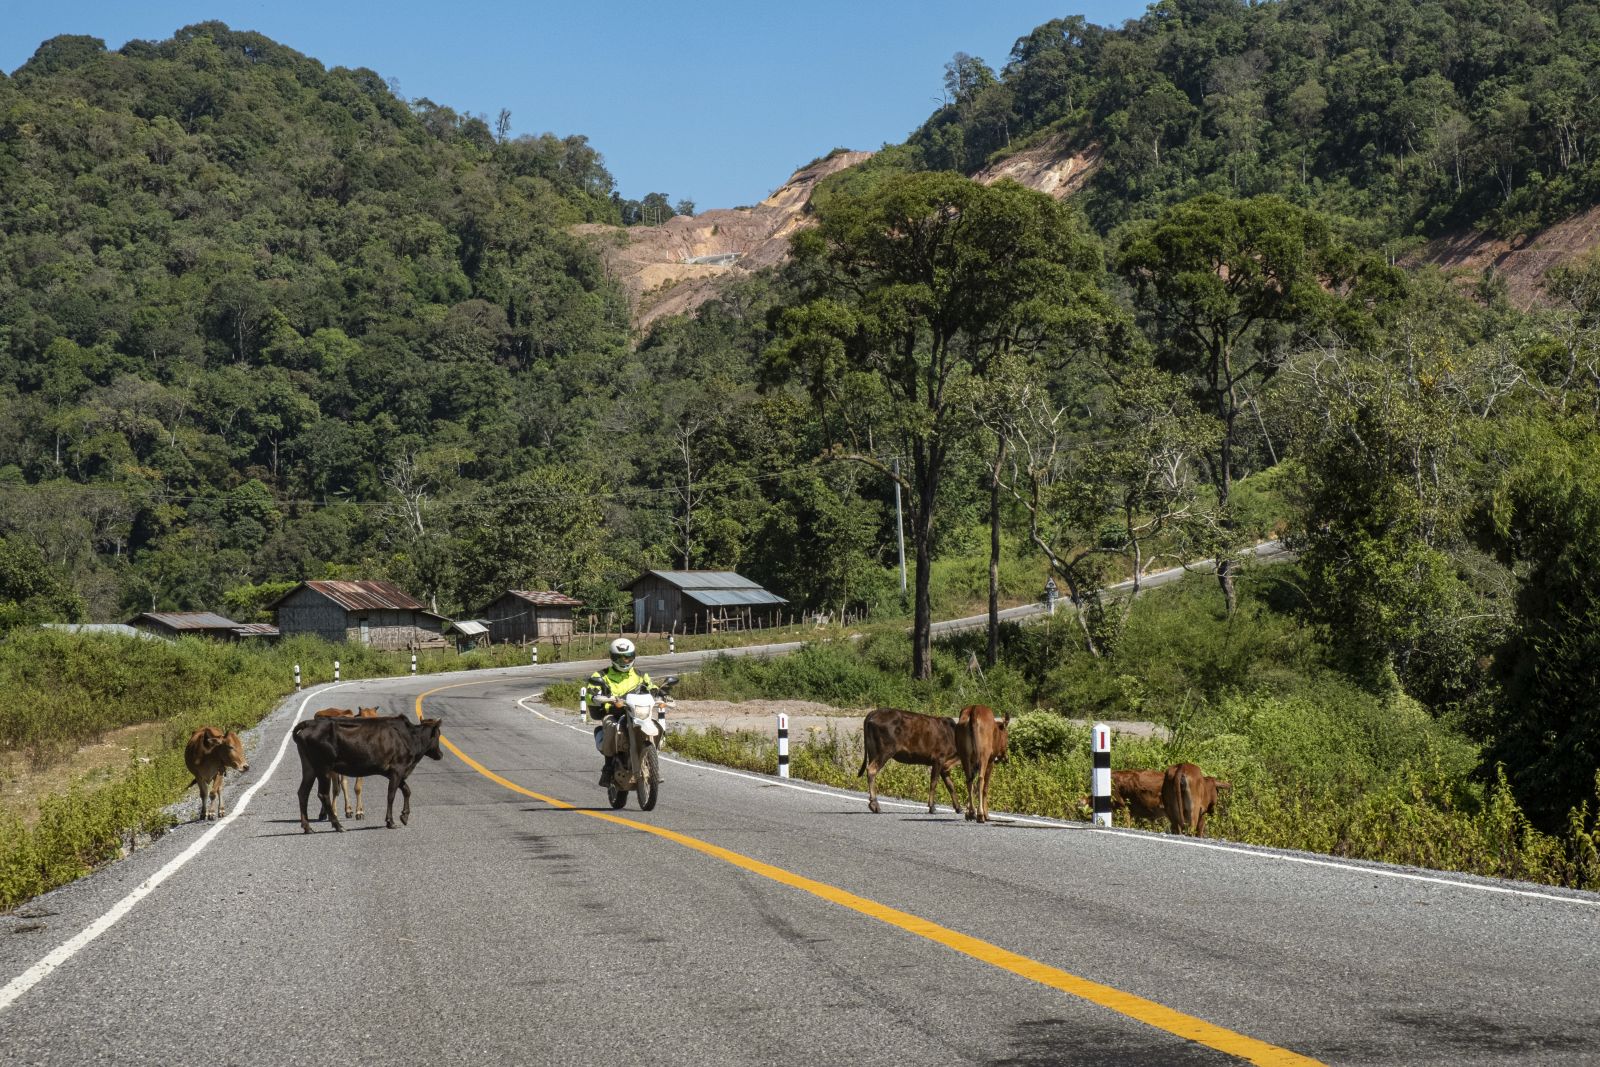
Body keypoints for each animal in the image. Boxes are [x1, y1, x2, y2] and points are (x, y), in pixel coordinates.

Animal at [292, 716, 444, 831]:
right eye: (438, 734)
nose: (440, 754)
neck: (410, 738)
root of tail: (309, 723)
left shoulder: (392, 772)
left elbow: (407, 790)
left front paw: (404, 816)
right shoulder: (398, 769)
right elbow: (391, 795)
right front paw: (390, 821)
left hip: (309, 767)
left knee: (303, 792)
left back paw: (307, 827)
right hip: (324, 767)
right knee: (322, 794)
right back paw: (338, 826)